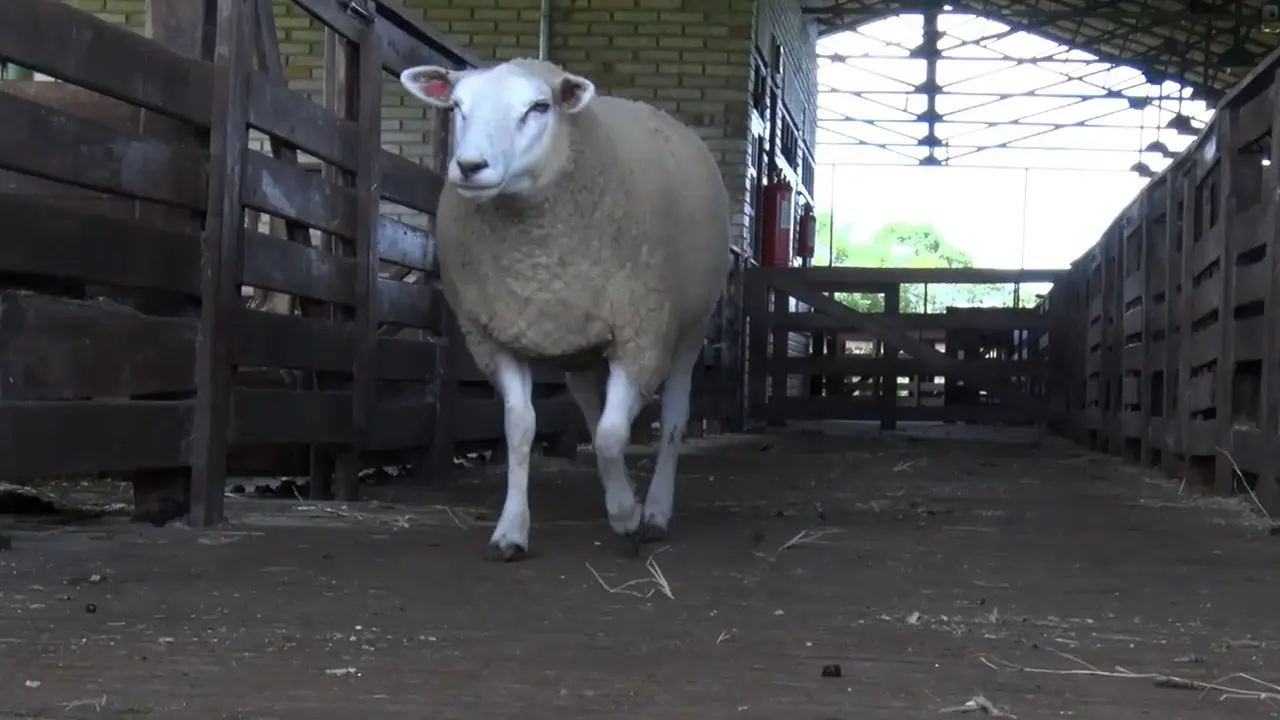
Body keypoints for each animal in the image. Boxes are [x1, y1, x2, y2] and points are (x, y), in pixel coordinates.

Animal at [399, 58, 732, 561]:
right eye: (456, 106)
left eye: (539, 107)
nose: (471, 166)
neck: (537, 262)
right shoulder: (494, 336)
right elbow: (521, 428)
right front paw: (511, 531)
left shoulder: (641, 332)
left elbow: (615, 435)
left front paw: (628, 517)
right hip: (579, 349)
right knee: (594, 415)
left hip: (688, 333)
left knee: (672, 419)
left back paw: (653, 510)